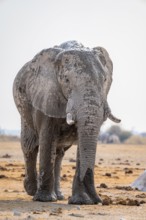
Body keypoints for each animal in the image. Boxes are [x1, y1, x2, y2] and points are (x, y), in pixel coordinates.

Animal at [12, 40, 120, 205]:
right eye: (67, 80)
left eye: (105, 80)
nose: (99, 200)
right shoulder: (46, 94)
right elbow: (47, 137)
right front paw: (44, 200)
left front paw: (81, 201)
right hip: (23, 108)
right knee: (29, 146)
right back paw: (31, 189)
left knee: (59, 153)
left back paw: (59, 196)